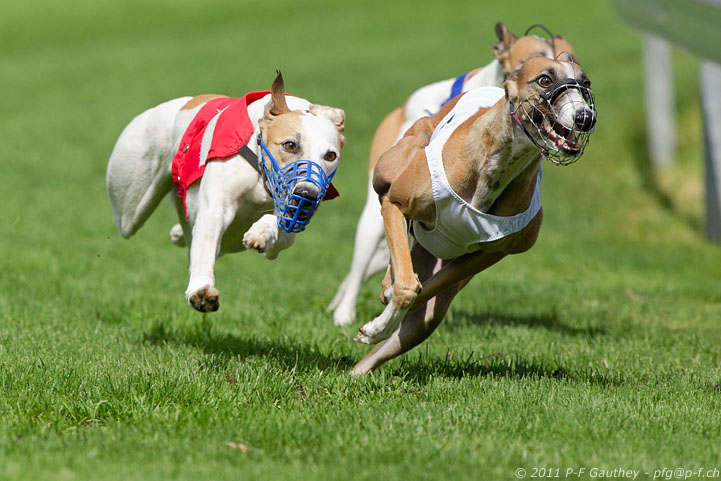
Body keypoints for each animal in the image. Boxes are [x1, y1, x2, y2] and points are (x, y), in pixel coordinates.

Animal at [105, 71, 344, 312]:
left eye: (331, 156)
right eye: (290, 145)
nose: (307, 194)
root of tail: (185, 102)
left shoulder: (288, 229)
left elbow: (281, 228)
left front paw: (261, 232)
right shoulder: (216, 209)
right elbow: (207, 238)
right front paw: (201, 290)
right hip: (130, 210)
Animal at [330, 20, 576, 324]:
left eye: (575, 64)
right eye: (541, 73)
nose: (578, 112)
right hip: (373, 220)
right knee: (360, 265)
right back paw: (344, 311)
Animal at [352, 54, 592, 374]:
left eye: (585, 83)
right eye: (545, 79)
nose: (585, 117)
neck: (498, 167)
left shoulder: (491, 254)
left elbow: (420, 292)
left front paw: (380, 322)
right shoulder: (396, 203)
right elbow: (406, 284)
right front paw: (383, 312)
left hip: (430, 286)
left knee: (414, 323)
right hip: (393, 164)